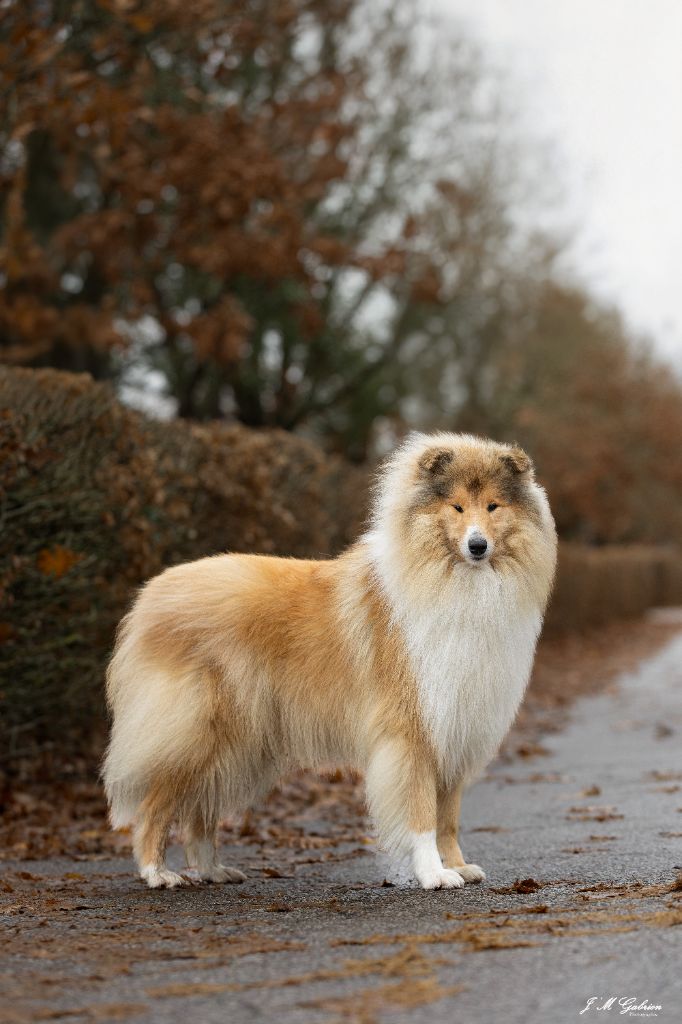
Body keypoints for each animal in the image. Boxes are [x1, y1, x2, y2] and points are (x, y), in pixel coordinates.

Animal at [103, 432, 557, 888]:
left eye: (494, 506)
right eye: (457, 507)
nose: (477, 546)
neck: (454, 579)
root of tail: (150, 595)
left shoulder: (454, 731)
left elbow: (448, 817)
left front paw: (458, 865)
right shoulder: (412, 731)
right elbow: (422, 815)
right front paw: (433, 874)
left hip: (238, 743)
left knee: (200, 811)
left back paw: (214, 870)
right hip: (200, 731)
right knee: (154, 806)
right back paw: (158, 873)